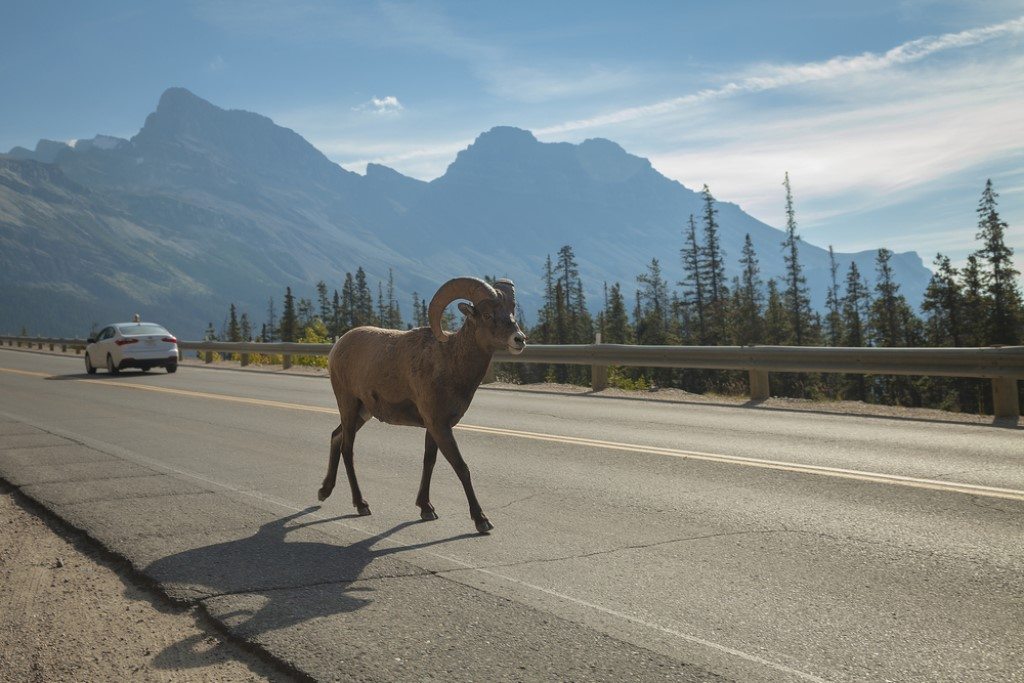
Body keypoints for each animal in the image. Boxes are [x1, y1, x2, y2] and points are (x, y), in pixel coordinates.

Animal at [317, 276, 528, 532]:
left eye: (511, 311)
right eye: (488, 315)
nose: (519, 339)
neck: (451, 364)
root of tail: (336, 348)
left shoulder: (433, 427)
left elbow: (429, 461)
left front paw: (426, 508)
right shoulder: (439, 426)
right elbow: (462, 468)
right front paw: (481, 520)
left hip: (362, 414)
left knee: (336, 437)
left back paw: (324, 491)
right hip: (348, 406)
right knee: (347, 449)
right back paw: (361, 505)